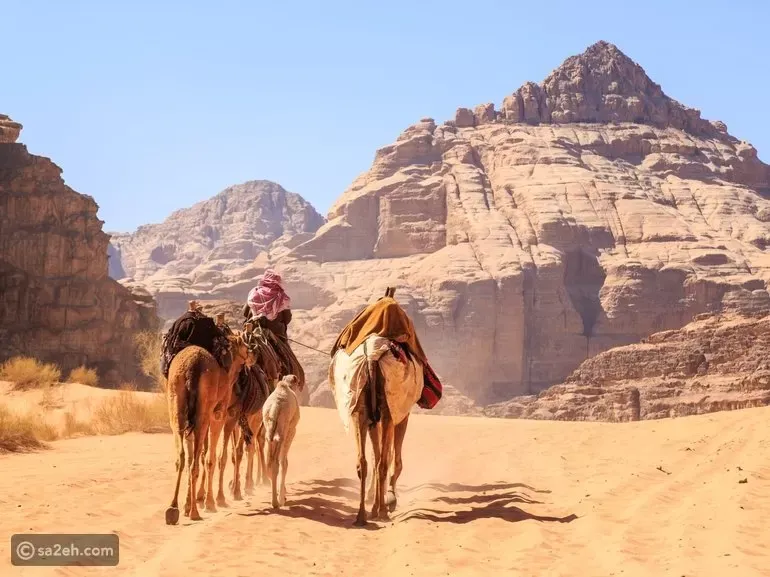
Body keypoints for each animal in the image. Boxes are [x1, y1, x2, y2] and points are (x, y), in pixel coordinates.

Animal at [164, 329, 255, 525]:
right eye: (245, 346)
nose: (253, 354)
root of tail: (192, 367)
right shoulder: (218, 416)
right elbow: (212, 458)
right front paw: (211, 502)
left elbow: (197, 456)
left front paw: (188, 504)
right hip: (203, 414)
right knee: (197, 461)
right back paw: (195, 512)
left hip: (176, 407)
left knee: (182, 457)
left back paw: (173, 508)